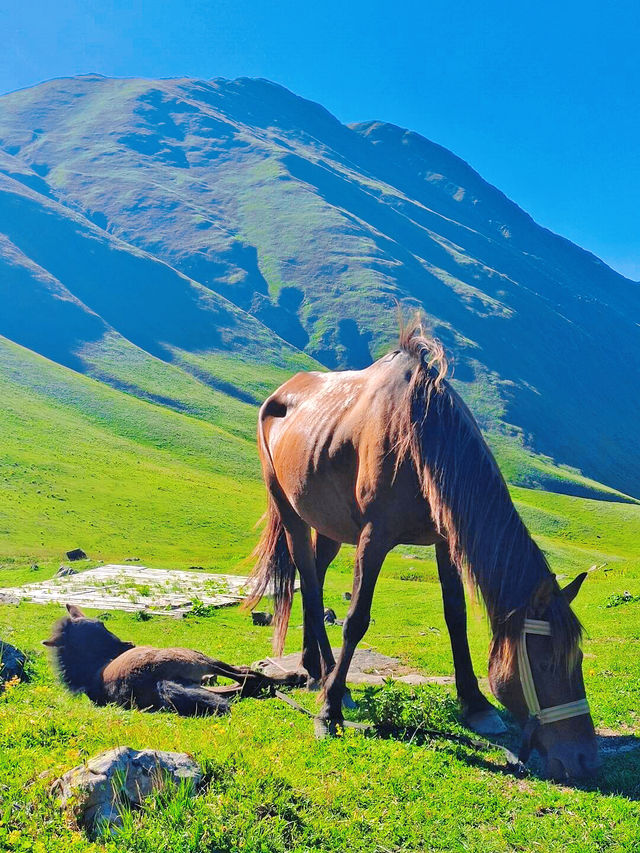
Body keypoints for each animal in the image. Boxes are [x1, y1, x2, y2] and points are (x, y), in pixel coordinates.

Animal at [44, 604, 300, 716]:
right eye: (94, 635)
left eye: (102, 623)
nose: (128, 645)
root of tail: (154, 681)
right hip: (196, 657)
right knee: (248, 678)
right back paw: (293, 676)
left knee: (241, 686)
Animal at [246, 318, 600, 780]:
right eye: (544, 664)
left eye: (578, 659)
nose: (585, 759)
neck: (419, 437)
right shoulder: (374, 537)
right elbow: (356, 620)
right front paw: (328, 714)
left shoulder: (446, 540)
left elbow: (456, 616)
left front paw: (475, 704)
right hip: (290, 512)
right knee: (307, 576)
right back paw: (322, 676)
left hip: (328, 525)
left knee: (316, 581)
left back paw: (318, 670)